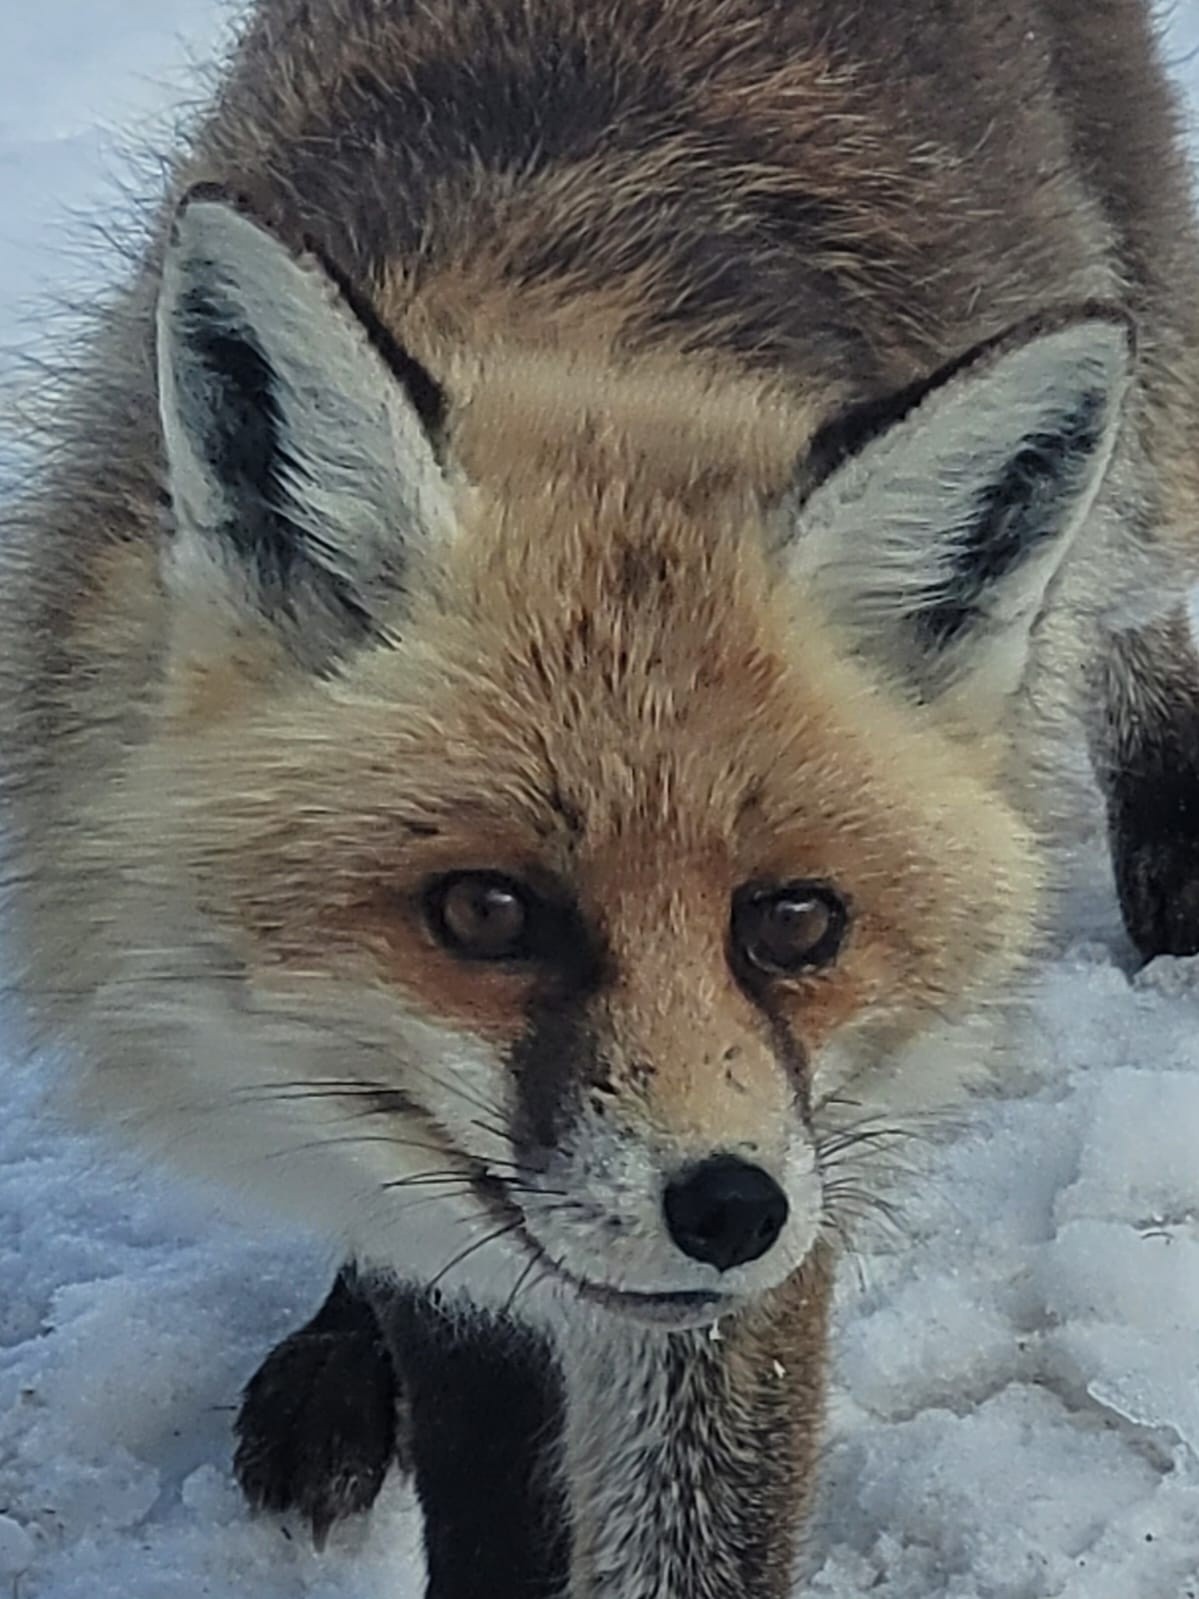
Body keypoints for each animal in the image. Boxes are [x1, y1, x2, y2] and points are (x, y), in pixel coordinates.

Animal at [2, 0, 1199, 1593]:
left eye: (797, 922)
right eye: (483, 911)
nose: (729, 1208)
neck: (582, 314)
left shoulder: (774, 1196)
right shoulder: (467, 1190)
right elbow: (476, 1432)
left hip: (1138, 440)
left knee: (1136, 602)